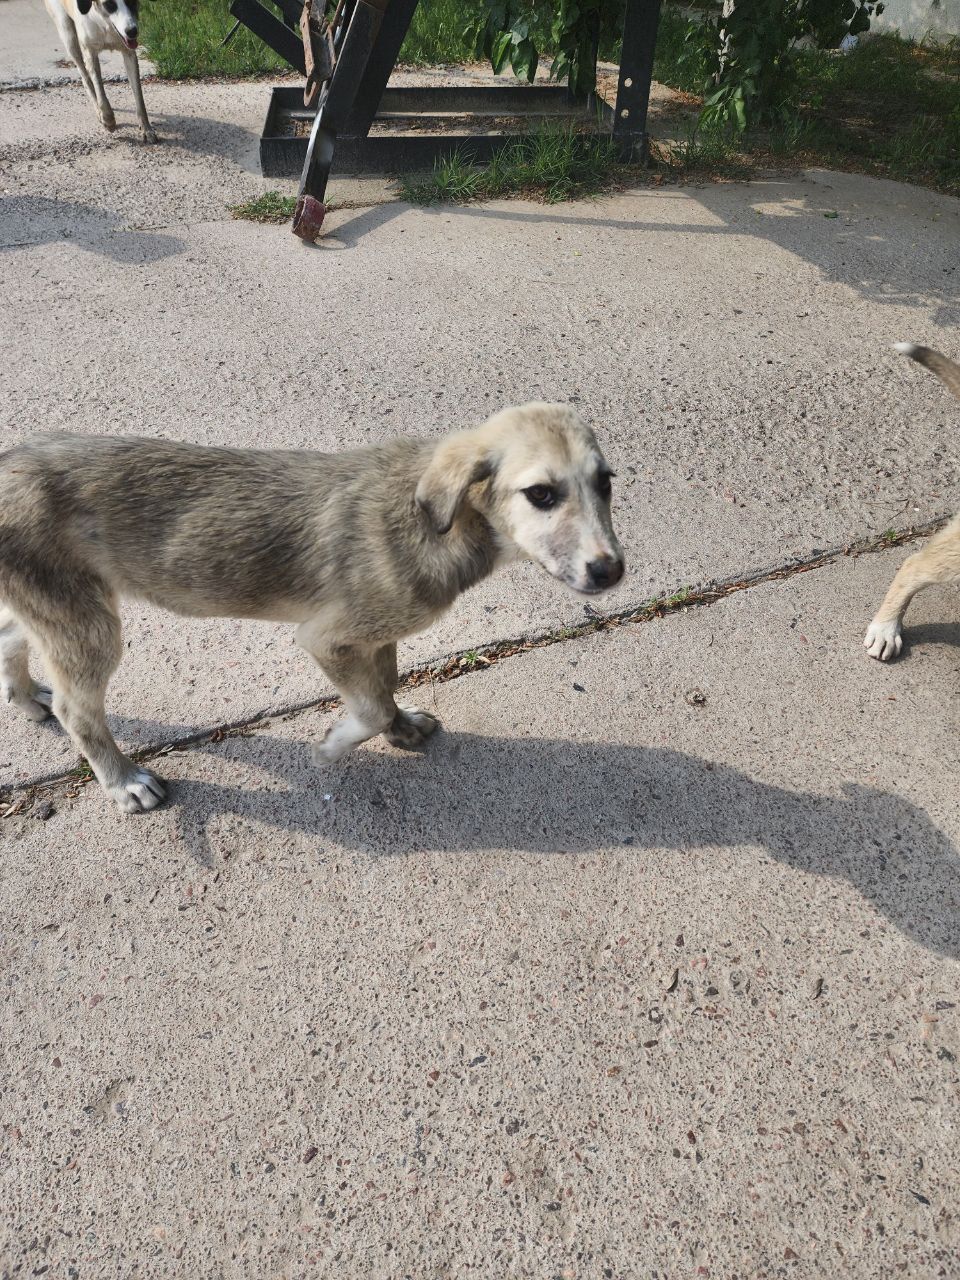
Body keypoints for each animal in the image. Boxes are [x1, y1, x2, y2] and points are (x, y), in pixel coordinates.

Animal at [0, 404, 624, 814]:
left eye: (606, 483)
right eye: (540, 494)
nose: (611, 571)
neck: (436, 522)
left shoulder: (376, 636)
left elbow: (384, 690)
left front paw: (402, 728)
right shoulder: (326, 638)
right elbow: (367, 708)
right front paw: (335, 746)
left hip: (51, 607)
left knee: (12, 640)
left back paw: (27, 698)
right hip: (88, 625)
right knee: (79, 712)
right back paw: (122, 780)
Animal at [42, 0, 156, 142]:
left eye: (132, 1)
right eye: (109, 4)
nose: (132, 31)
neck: (105, 24)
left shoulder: (129, 53)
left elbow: (139, 97)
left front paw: (147, 129)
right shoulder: (90, 53)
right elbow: (99, 91)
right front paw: (108, 120)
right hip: (67, 33)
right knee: (85, 78)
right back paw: (98, 112)